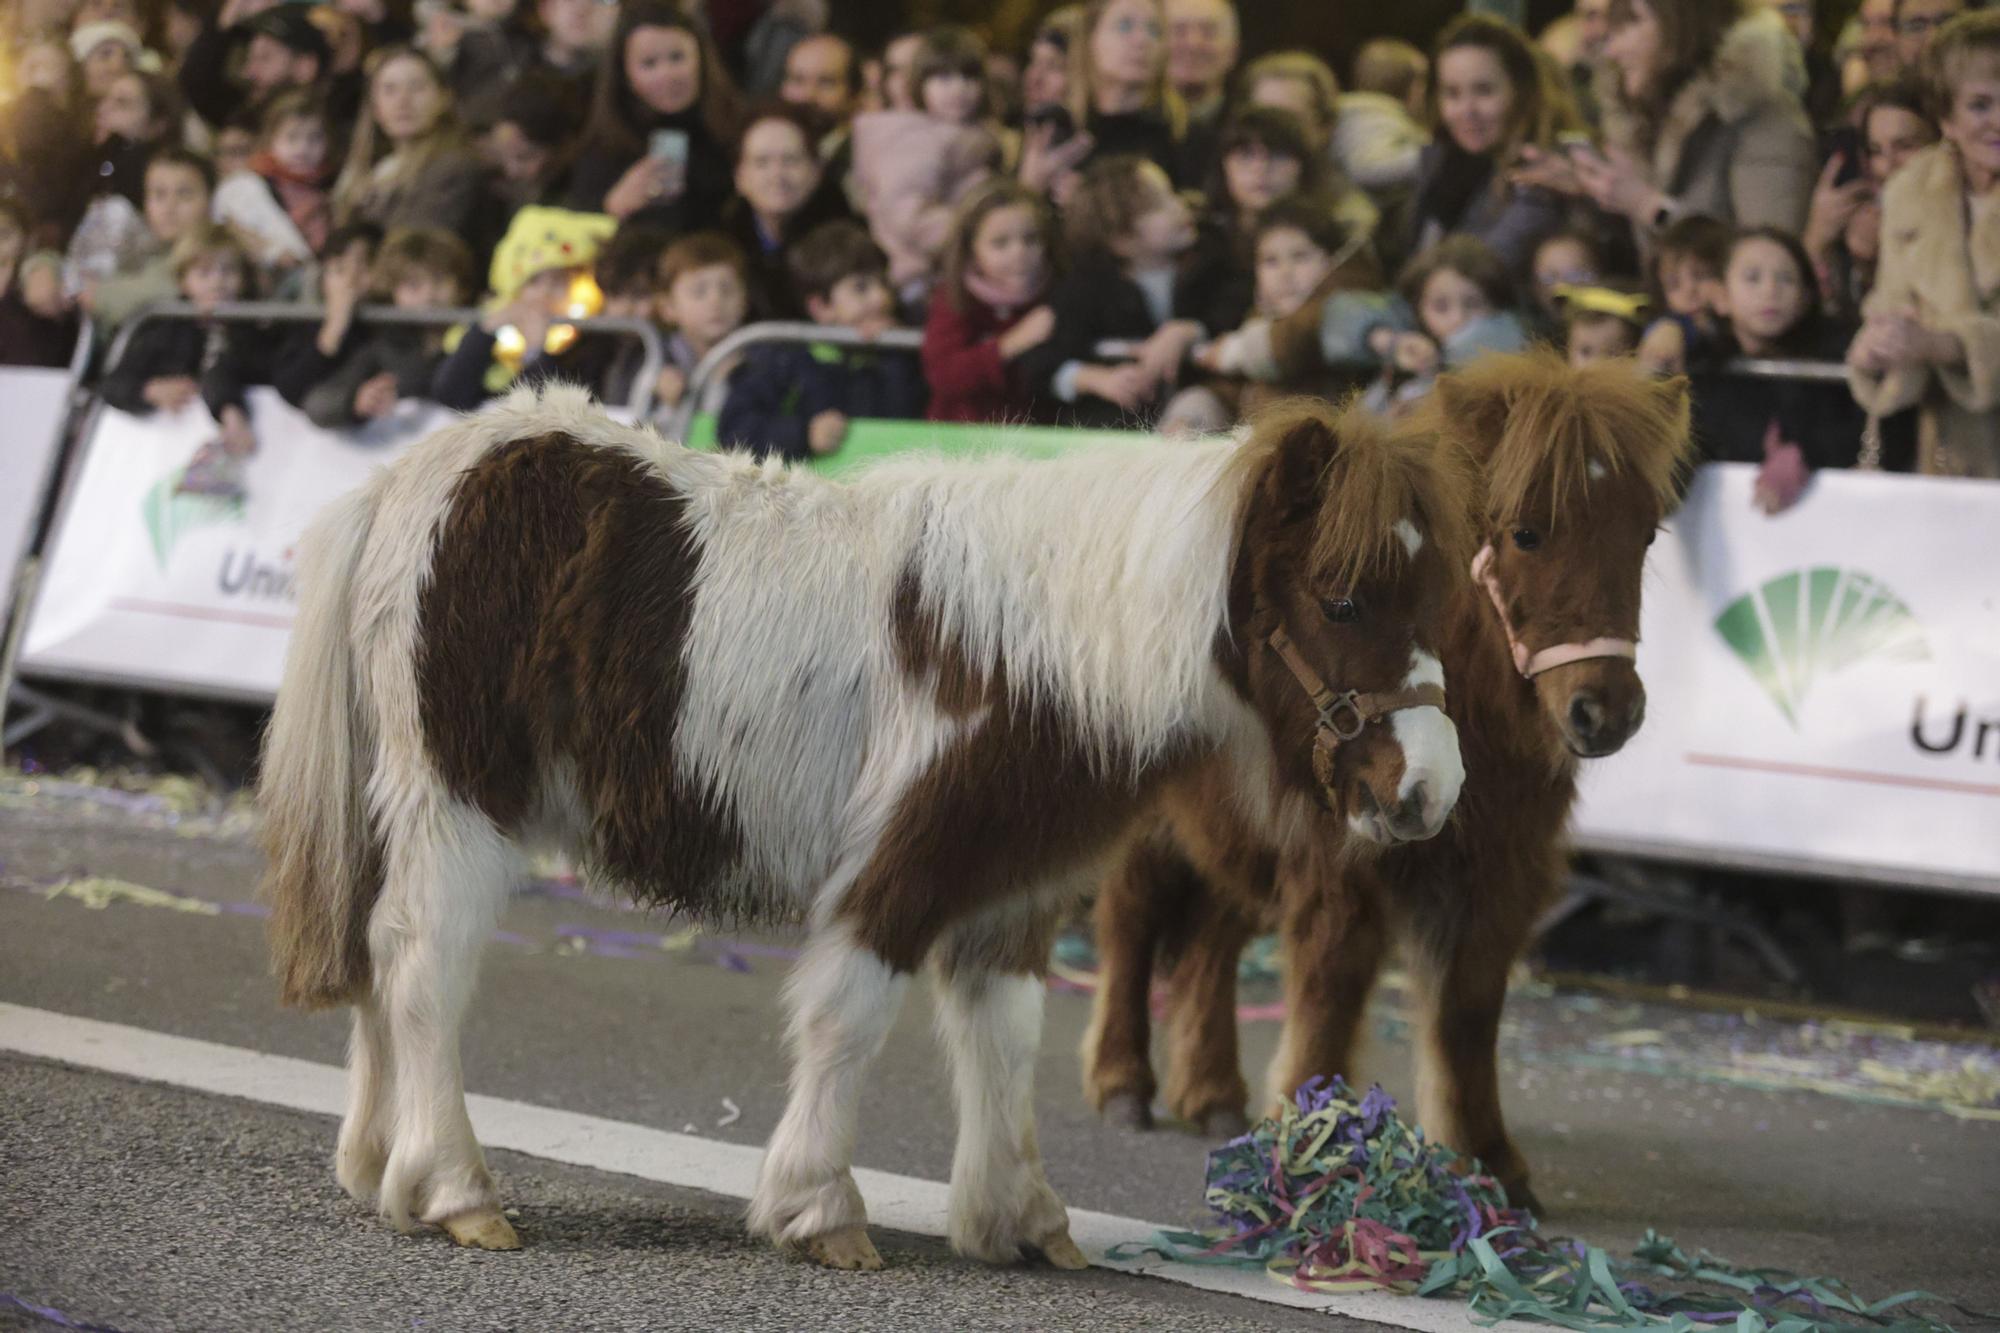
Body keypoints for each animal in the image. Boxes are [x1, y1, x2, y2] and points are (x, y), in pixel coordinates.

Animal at [254, 382, 1472, 1264]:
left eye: (1442, 601)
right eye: (1342, 596)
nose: (1428, 790)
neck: (1040, 643)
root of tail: (412, 479)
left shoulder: (1011, 893)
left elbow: (1003, 1040)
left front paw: (1022, 1221)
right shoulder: (901, 869)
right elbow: (850, 1021)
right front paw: (819, 1210)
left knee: (379, 962)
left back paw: (378, 1165)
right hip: (460, 804)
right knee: (422, 968)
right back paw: (452, 1188)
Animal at [1080, 352, 1688, 1200]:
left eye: (1646, 532)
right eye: (1527, 532)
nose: (1606, 710)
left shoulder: (1497, 878)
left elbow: (1467, 1014)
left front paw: (1488, 1161)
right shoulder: (1344, 871)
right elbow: (1328, 1000)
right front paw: (1313, 1145)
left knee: (1210, 942)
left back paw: (1213, 1094)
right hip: (1154, 830)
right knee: (1129, 923)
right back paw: (1124, 1084)